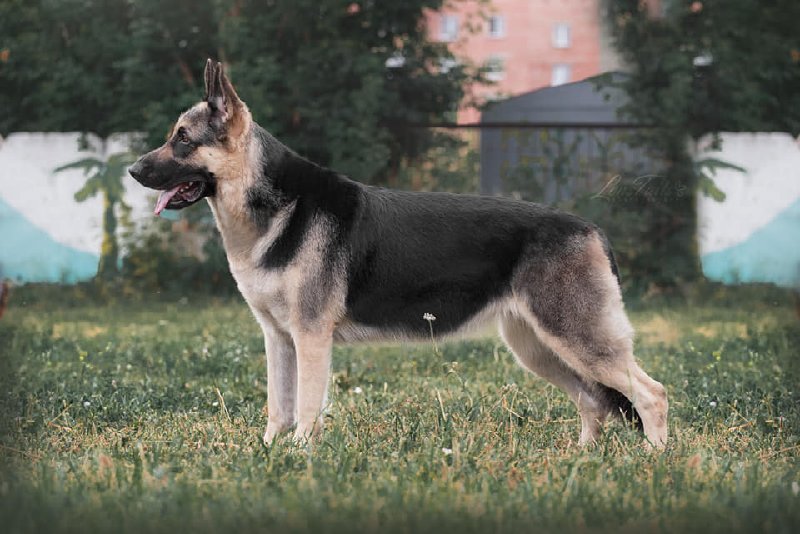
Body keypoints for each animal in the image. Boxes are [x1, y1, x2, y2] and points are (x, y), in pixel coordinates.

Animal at [130, 60, 668, 450]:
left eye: (182, 139)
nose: (133, 171)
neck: (271, 203)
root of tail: (594, 229)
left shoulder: (310, 339)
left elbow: (305, 407)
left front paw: (300, 458)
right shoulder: (279, 340)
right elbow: (278, 407)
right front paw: (265, 455)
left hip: (576, 341)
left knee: (651, 394)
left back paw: (652, 460)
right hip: (540, 348)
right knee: (594, 401)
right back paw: (584, 457)